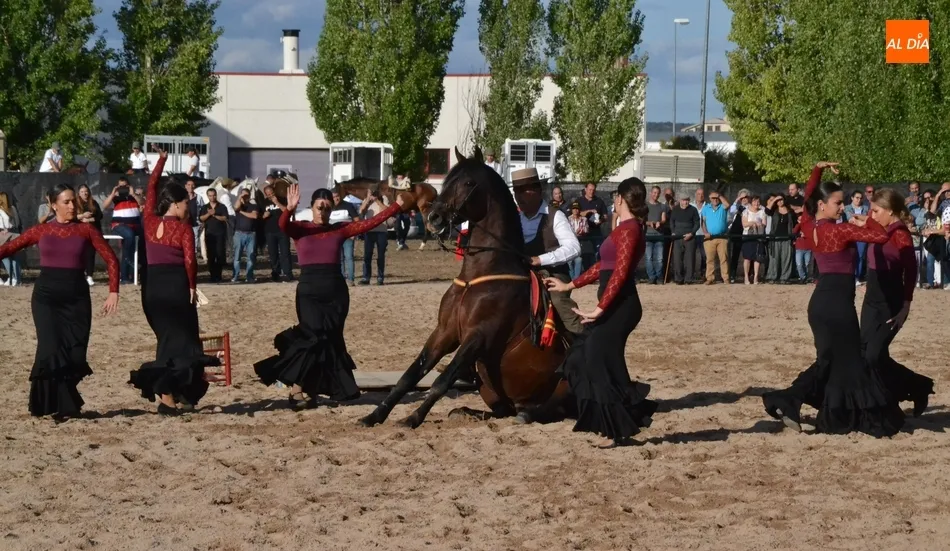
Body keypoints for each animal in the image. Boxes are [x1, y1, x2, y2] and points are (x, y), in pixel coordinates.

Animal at [359, 146, 569, 429]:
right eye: (447, 180)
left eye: (469, 183)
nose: (434, 217)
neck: (479, 273)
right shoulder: (444, 332)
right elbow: (410, 375)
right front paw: (374, 415)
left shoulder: (479, 335)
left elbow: (442, 381)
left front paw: (412, 417)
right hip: (490, 391)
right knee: (502, 410)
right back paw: (465, 412)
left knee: (541, 410)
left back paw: (525, 414)